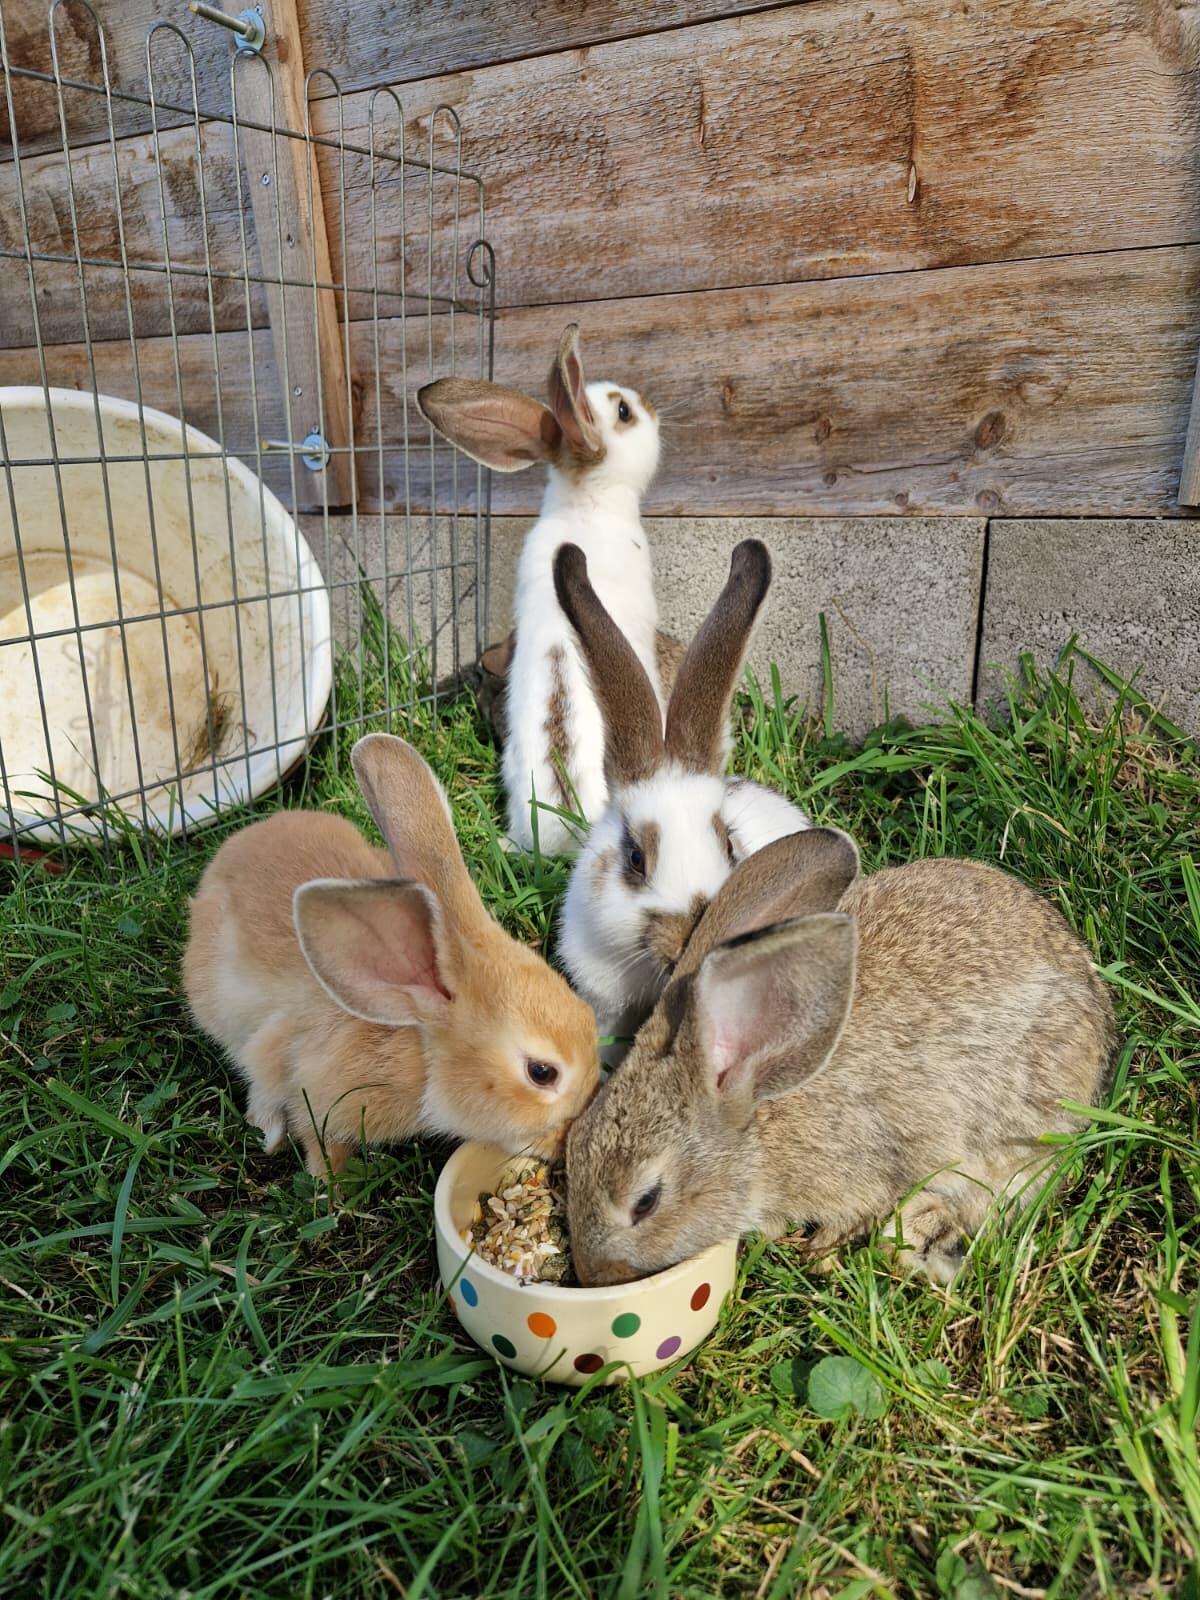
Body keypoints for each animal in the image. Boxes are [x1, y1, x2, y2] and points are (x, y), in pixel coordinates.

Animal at [181, 733, 599, 1176]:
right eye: (542, 1073)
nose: (567, 1141)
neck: (417, 1042)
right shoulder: (310, 1092)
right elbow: (316, 1137)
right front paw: (330, 1182)